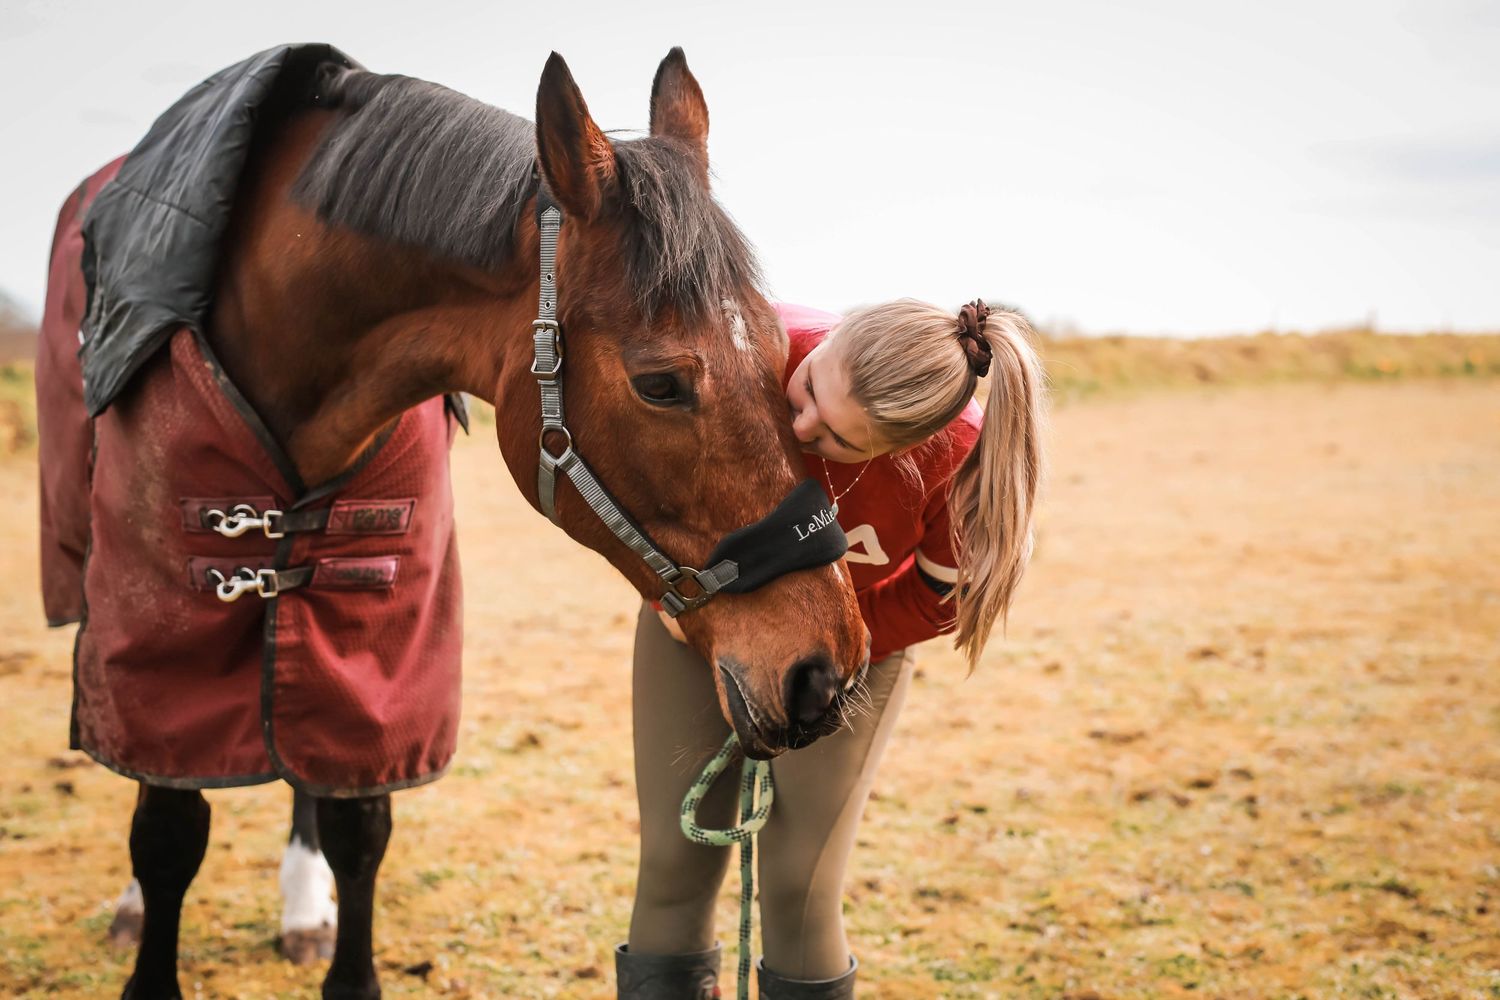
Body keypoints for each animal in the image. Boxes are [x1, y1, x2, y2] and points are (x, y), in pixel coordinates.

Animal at [36, 44, 870, 999]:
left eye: (778, 353)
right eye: (660, 384)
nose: (826, 668)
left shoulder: (376, 617)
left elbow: (356, 819)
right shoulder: (159, 620)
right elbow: (168, 825)